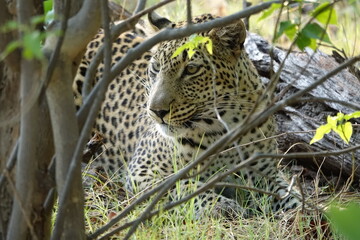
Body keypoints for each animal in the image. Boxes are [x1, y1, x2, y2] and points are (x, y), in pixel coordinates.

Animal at [74, 12, 300, 217]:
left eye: (191, 69)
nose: (156, 111)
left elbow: (289, 195)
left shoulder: (265, 172)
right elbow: (185, 187)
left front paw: (303, 216)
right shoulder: (144, 168)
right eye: (156, 67)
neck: (223, 127)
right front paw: (221, 207)